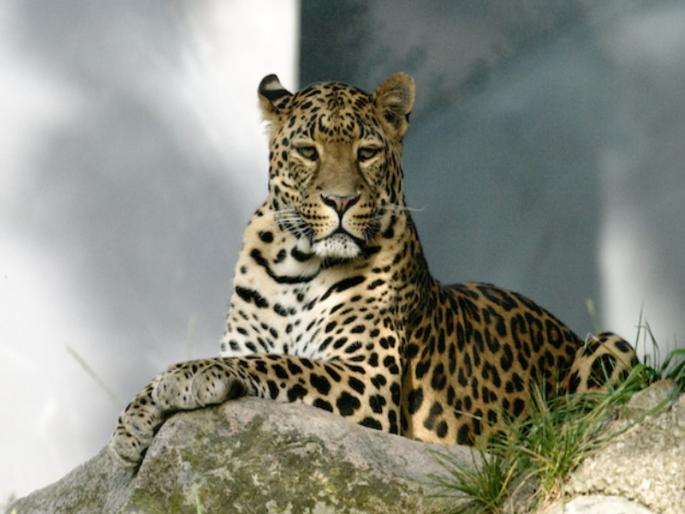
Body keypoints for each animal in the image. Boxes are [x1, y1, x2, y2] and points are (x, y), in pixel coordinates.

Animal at [109, 72, 638, 466]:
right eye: (308, 151)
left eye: (366, 152)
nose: (341, 201)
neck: (297, 266)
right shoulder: (252, 338)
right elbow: (251, 357)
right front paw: (131, 424)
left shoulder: (367, 380)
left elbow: (278, 362)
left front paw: (188, 374)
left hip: (610, 346)